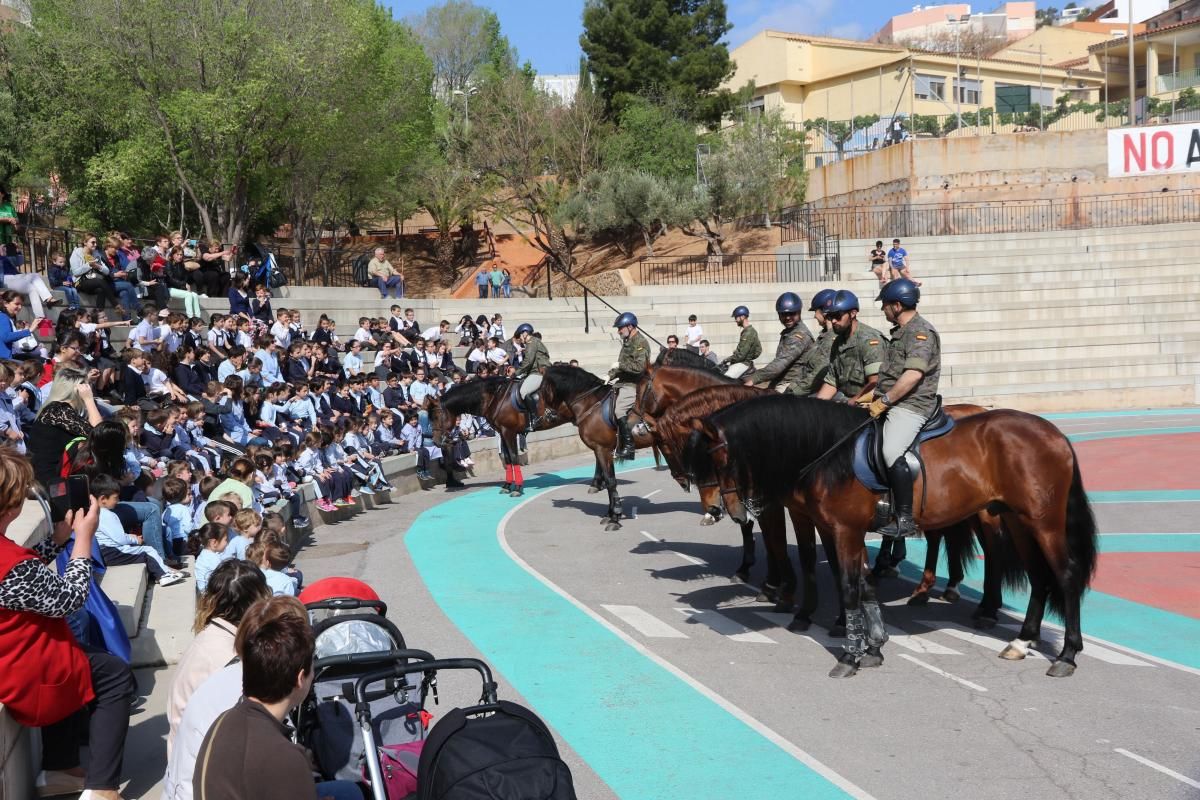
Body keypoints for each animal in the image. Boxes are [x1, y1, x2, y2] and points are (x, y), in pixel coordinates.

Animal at [686, 398, 1099, 681]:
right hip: (1016, 519)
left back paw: (1066, 655)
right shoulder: (835, 529)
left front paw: (850, 656)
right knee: (1040, 578)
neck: (826, 452)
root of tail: (1054, 433)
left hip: (1043, 522)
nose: (728, 510)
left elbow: (850, 588)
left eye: (721, 459)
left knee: (1065, 575)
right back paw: (1021, 641)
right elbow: (864, 586)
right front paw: (873, 648)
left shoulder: (844, 531)